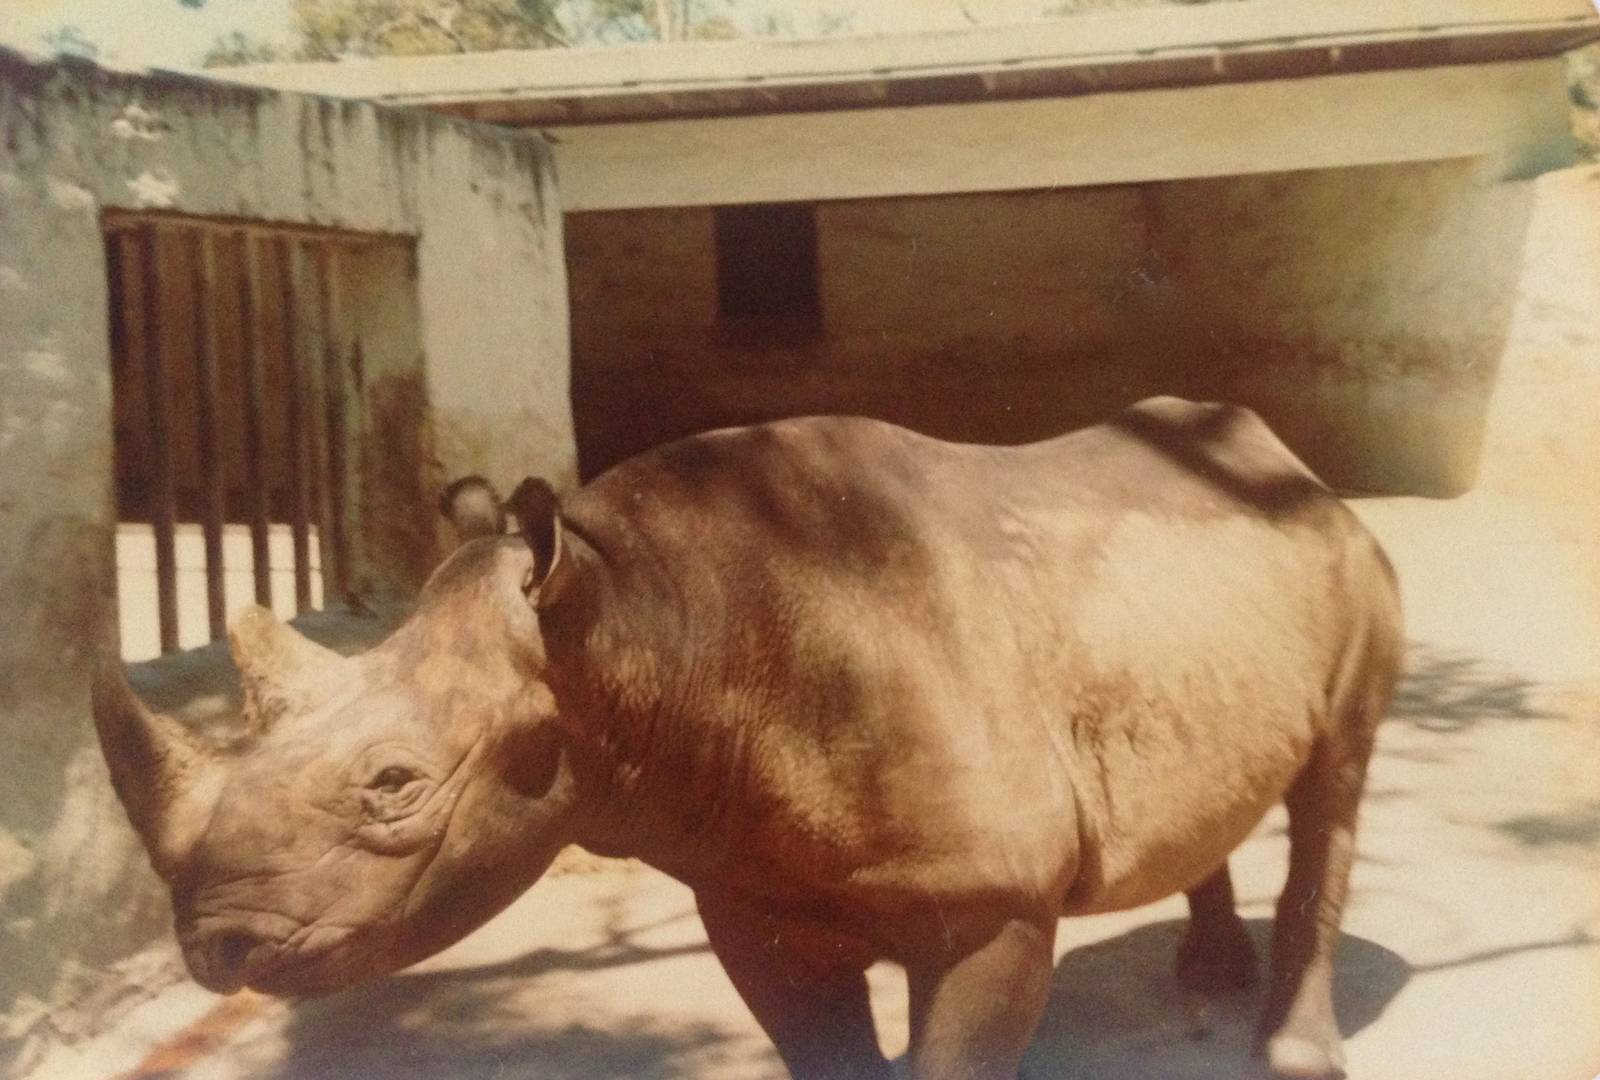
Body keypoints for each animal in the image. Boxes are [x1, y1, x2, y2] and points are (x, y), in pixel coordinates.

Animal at [92, 397, 1402, 1080]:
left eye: (393, 784)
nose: (215, 948)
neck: (643, 622)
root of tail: (1285, 455)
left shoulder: (993, 901)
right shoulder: (748, 886)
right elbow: (820, 1049)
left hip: (1342, 560)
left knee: (1334, 782)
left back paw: (1292, 1048)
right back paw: (1206, 975)